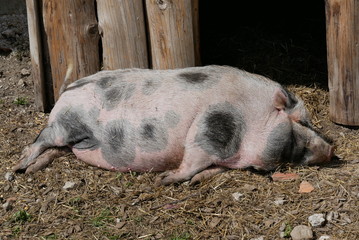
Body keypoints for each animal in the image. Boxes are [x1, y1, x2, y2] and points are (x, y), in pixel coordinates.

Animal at [13, 65, 334, 186]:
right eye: (302, 121)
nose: (332, 151)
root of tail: (67, 90)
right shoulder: (209, 127)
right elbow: (193, 157)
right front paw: (165, 179)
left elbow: (211, 169)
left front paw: (192, 181)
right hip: (65, 124)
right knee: (39, 140)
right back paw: (17, 168)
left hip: (73, 140)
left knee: (57, 150)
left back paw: (31, 169)